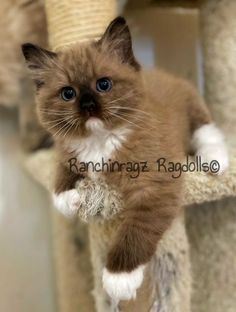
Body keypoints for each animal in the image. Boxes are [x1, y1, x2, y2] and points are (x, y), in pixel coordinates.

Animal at [22, 16, 229, 302]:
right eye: (68, 93)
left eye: (103, 85)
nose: (88, 104)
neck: (100, 141)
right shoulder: (66, 149)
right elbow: (62, 170)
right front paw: (67, 197)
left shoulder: (153, 187)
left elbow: (135, 232)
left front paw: (119, 277)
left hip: (194, 107)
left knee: (207, 131)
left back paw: (215, 159)